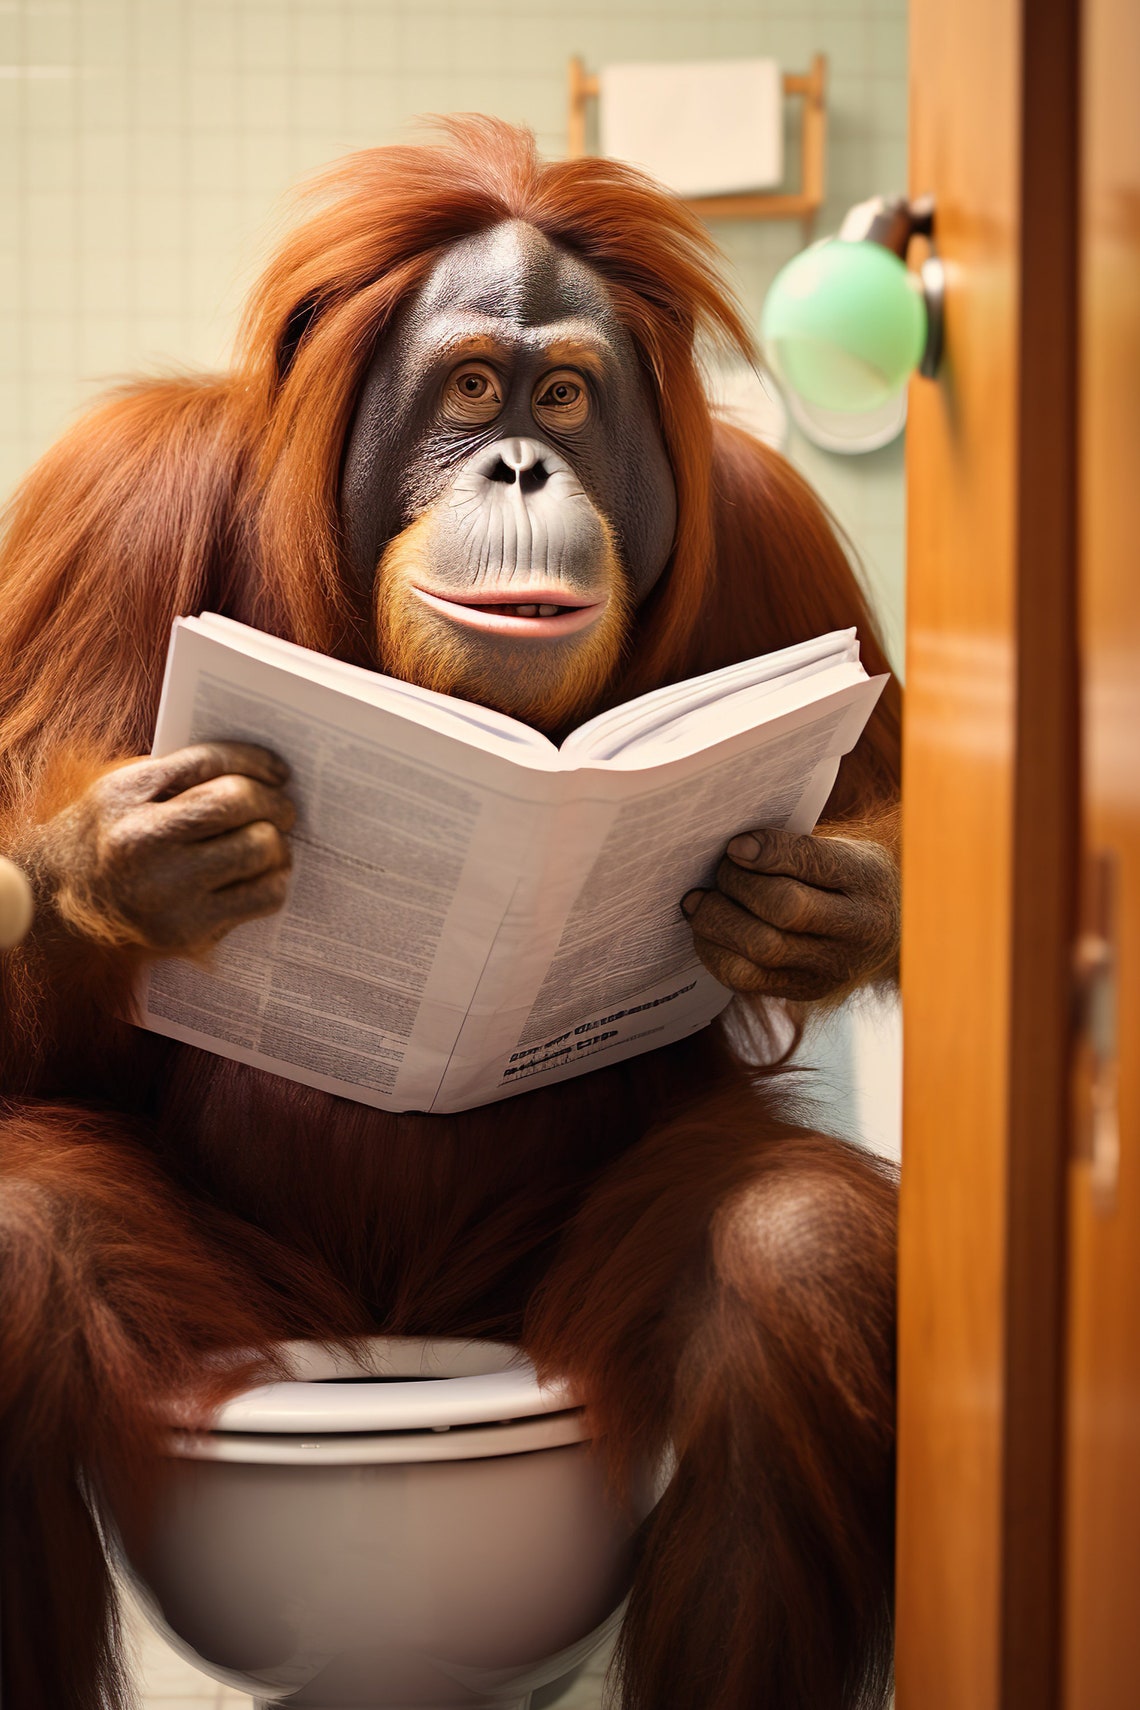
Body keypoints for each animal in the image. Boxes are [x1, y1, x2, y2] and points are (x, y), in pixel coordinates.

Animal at [0, 119, 899, 1710]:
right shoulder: (112, 500)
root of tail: (390, 1335)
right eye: (473, 385)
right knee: (29, 1240)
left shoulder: (771, 523)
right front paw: (133, 858)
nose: (525, 465)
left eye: (567, 393)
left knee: (800, 1254)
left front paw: (817, 908)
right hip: (235, 1335)